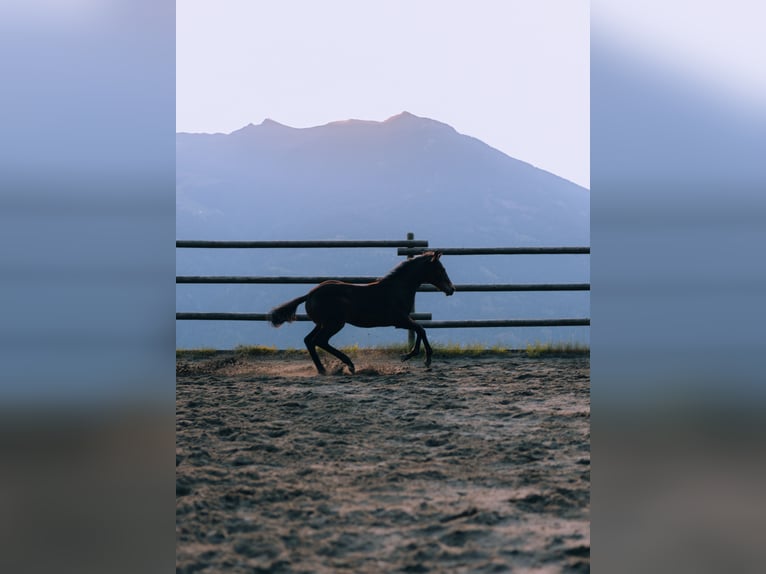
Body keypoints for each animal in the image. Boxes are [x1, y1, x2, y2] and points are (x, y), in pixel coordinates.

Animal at [270, 252, 456, 374]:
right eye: (441, 269)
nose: (451, 289)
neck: (397, 288)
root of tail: (310, 294)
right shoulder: (399, 320)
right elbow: (420, 329)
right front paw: (419, 357)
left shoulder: (404, 320)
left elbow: (420, 330)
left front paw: (416, 356)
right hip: (334, 323)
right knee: (319, 341)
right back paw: (349, 365)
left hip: (323, 323)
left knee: (309, 340)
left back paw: (323, 369)